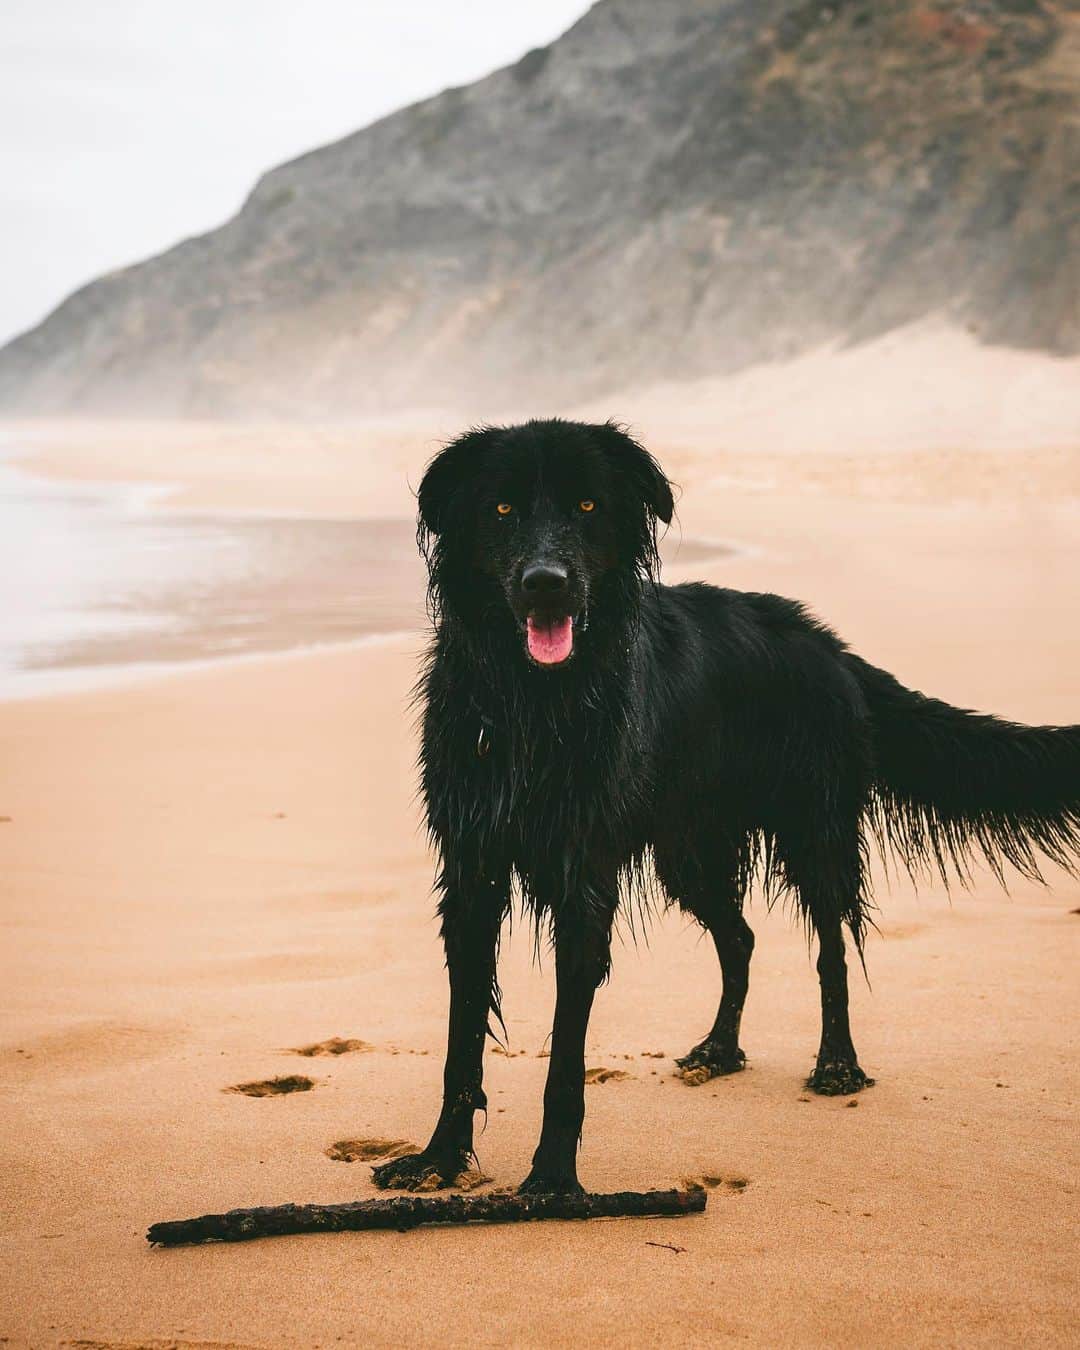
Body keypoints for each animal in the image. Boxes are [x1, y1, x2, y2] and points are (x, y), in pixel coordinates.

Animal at [372, 418, 1080, 1193]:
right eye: (500, 510)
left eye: (588, 507)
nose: (545, 586)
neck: (536, 702)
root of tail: (831, 648)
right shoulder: (472, 868)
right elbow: (462, 1033)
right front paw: (439, 1158)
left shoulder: (583, 879)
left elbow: (565, 1057)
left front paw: (554, 1178)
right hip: (691, 850)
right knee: (739, 937)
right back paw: (719, 1049)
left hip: (813, 833)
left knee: (832, 947)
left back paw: (837, 1065)